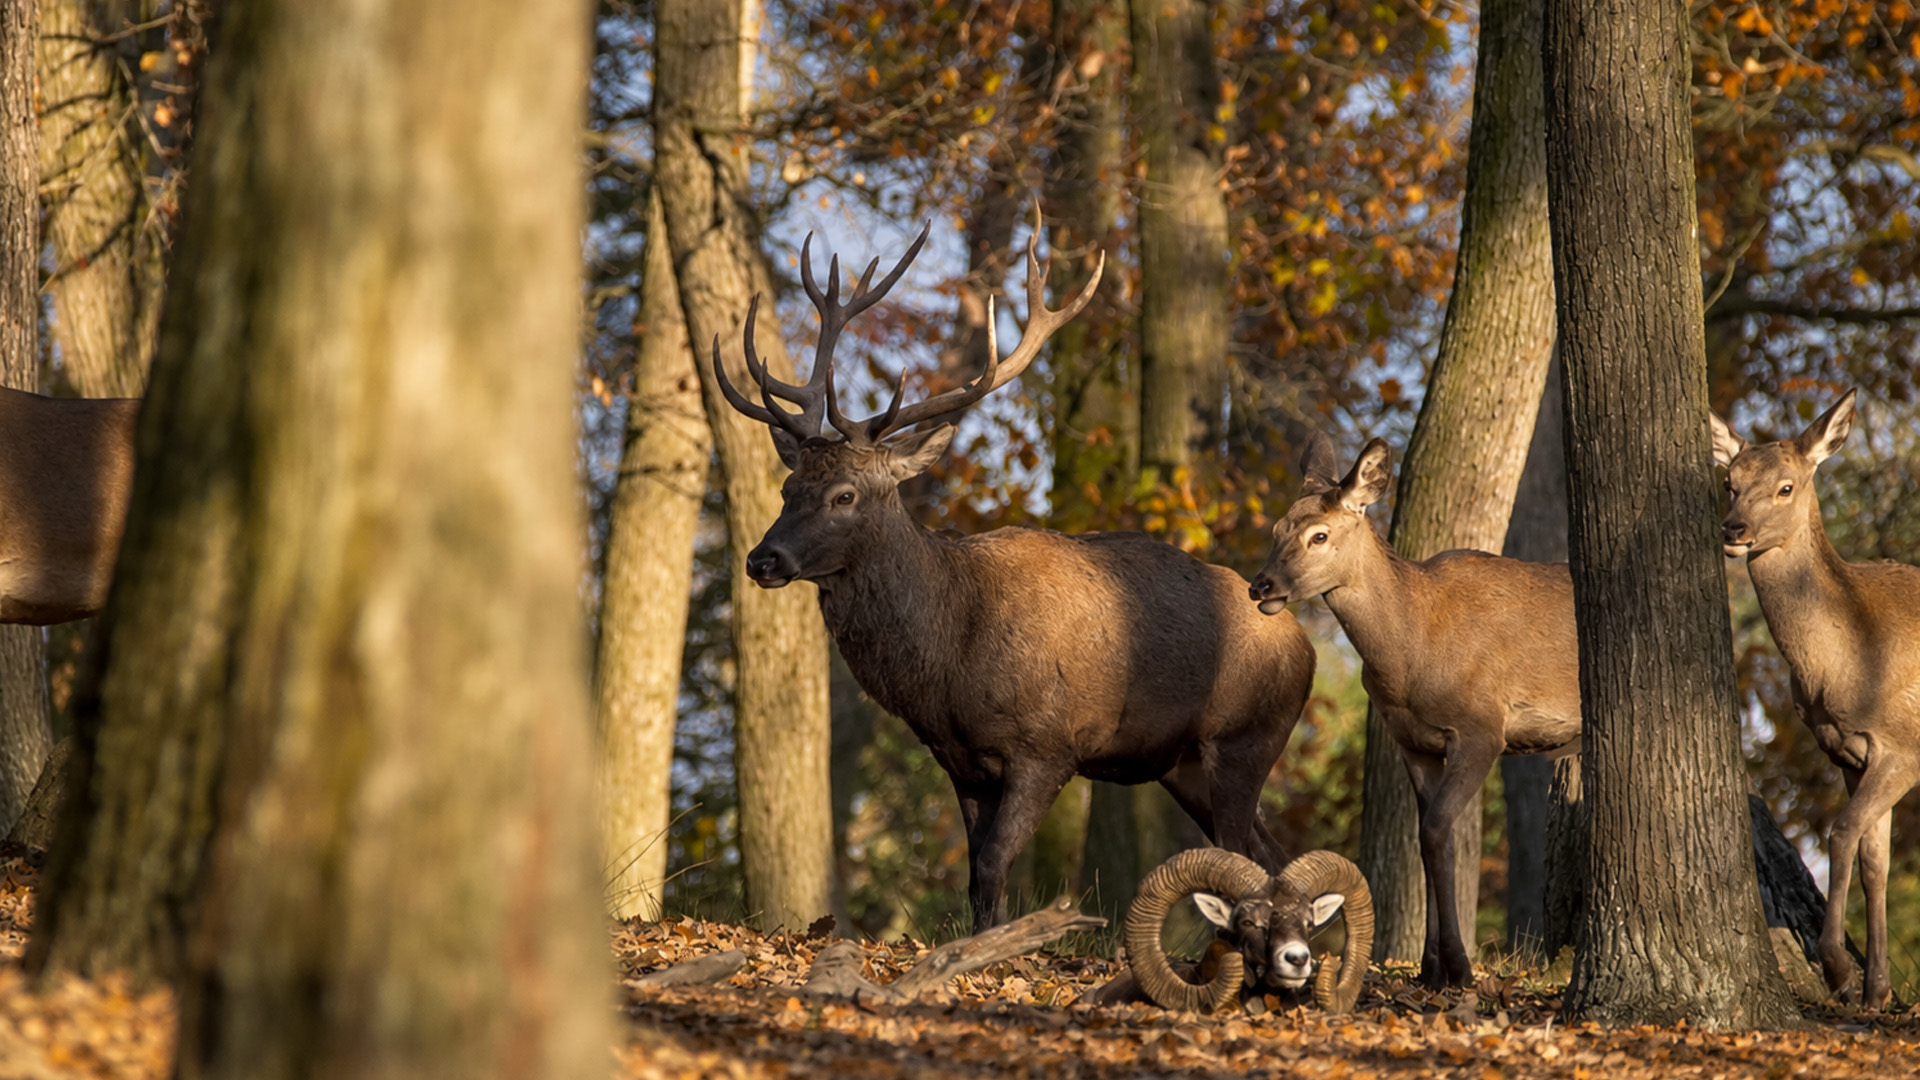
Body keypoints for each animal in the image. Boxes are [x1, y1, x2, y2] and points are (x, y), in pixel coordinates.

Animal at [712, 218, 1318, 932]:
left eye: (844, 495)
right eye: (787, 487)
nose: (762, 559)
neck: (949, 664)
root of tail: (1303, 641)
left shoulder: (1048, 744)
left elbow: (997, 864)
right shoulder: (960, 760)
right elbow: (977, 873)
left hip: (1247, 738)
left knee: (1248, 852)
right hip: (1186, 763)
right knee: (1269, 853)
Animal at [1246, 432, 1581, 990]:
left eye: (1319, 536)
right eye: (1276, 529)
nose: (1261, 586)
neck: (1411, 656)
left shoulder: (1482, 727)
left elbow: (1438, 831)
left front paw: (1459, 966)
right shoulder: (1412, 740)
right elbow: (1426, 841)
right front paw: (1429, 967)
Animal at [1711, 390, 1920, 1009]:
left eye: (1786, 487)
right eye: (1729, 481)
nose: (1733, 529)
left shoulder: (1903, 745)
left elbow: (1841, 833)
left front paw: (1837, 968)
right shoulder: (1846, 751)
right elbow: (1875, 859)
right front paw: (1876, 990)